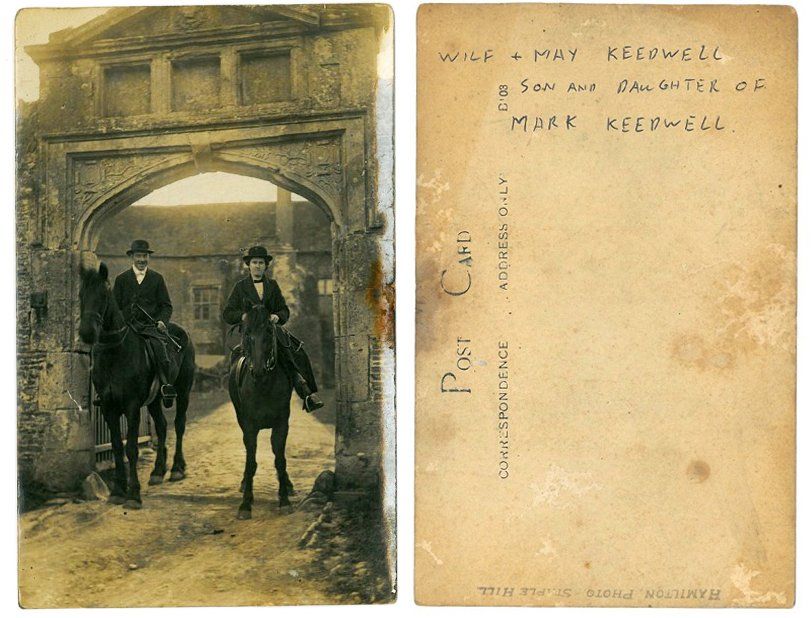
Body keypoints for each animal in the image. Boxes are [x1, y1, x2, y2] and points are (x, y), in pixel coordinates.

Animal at [78, 262, 196, 508]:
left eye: (104, 295)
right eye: (81, 294)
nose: (87, 333)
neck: (116, 353)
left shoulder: (132, 406)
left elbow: (131, 448)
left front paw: (133, 494)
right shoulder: (109, 408)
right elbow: (116, 445)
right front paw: (117, 490)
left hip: (183, 392)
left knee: (179, 425)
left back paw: (177, 468)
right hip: (154, 400)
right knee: (161, 426)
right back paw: (158, 471)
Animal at [230, 304, 296, 516]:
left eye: (269, 332)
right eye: (247, 333)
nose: (258, 371)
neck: (264, 385)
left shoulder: (281, 425)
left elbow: (280, 460)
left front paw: (284, 501)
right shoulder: (249, 427)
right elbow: (251, 462)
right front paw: (245, 504)